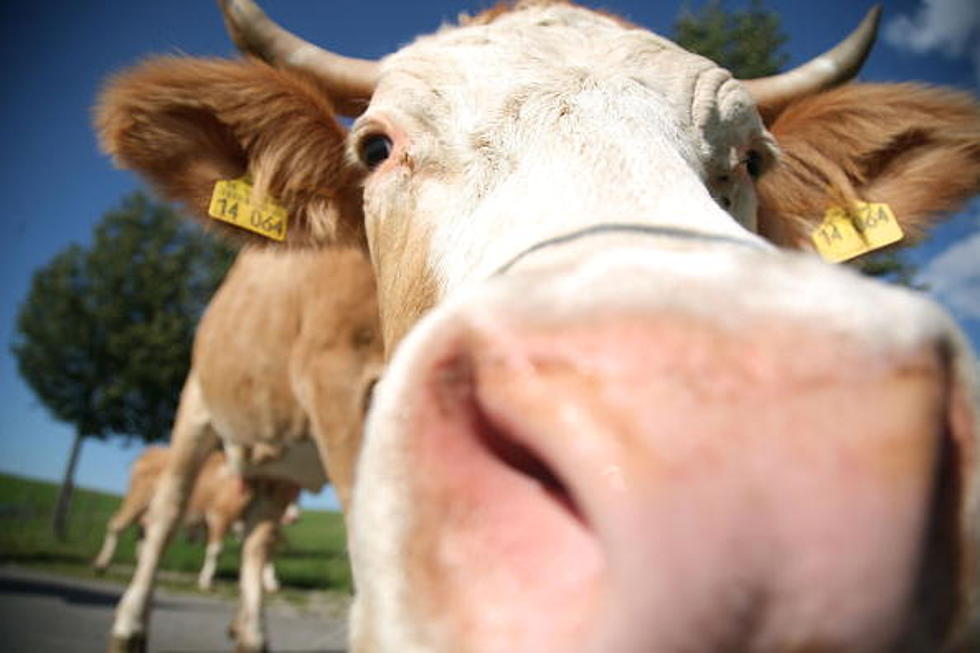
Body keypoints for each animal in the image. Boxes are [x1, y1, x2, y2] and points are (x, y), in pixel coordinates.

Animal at [94, 446, 302, 592]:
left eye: (296, 493)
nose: (293, 517)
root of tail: (151, 451)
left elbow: (264, 554)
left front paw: (269, 583)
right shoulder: (219, 516)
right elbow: (216, 550)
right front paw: (206, 581)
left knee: (144, 537)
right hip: (137, 499)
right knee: (116, 525)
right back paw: (101, 564)